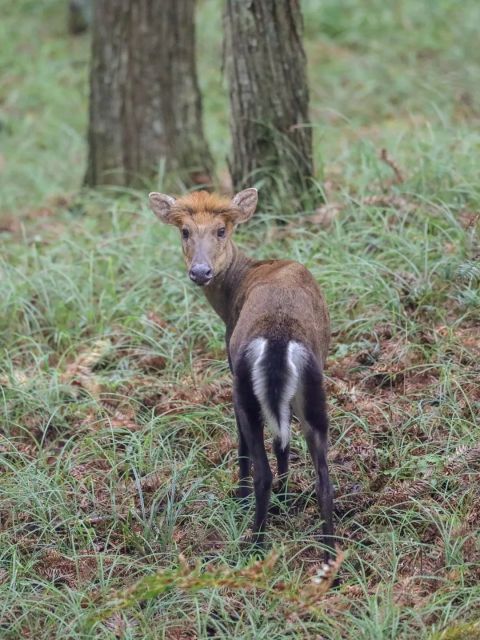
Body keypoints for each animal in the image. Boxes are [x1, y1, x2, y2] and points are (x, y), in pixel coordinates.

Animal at [149, 188, 334, 556]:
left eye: (222, 230)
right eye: (185, 231)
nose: (200, 271)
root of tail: (278, 338)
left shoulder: (231, 367)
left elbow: (244, 444)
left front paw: (241, 496)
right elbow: (282, 442)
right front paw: (286, 497)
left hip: (245, 388)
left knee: (261, 467)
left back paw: (254, 542)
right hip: (312, 388)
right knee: (323, 476)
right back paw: (331, 553)